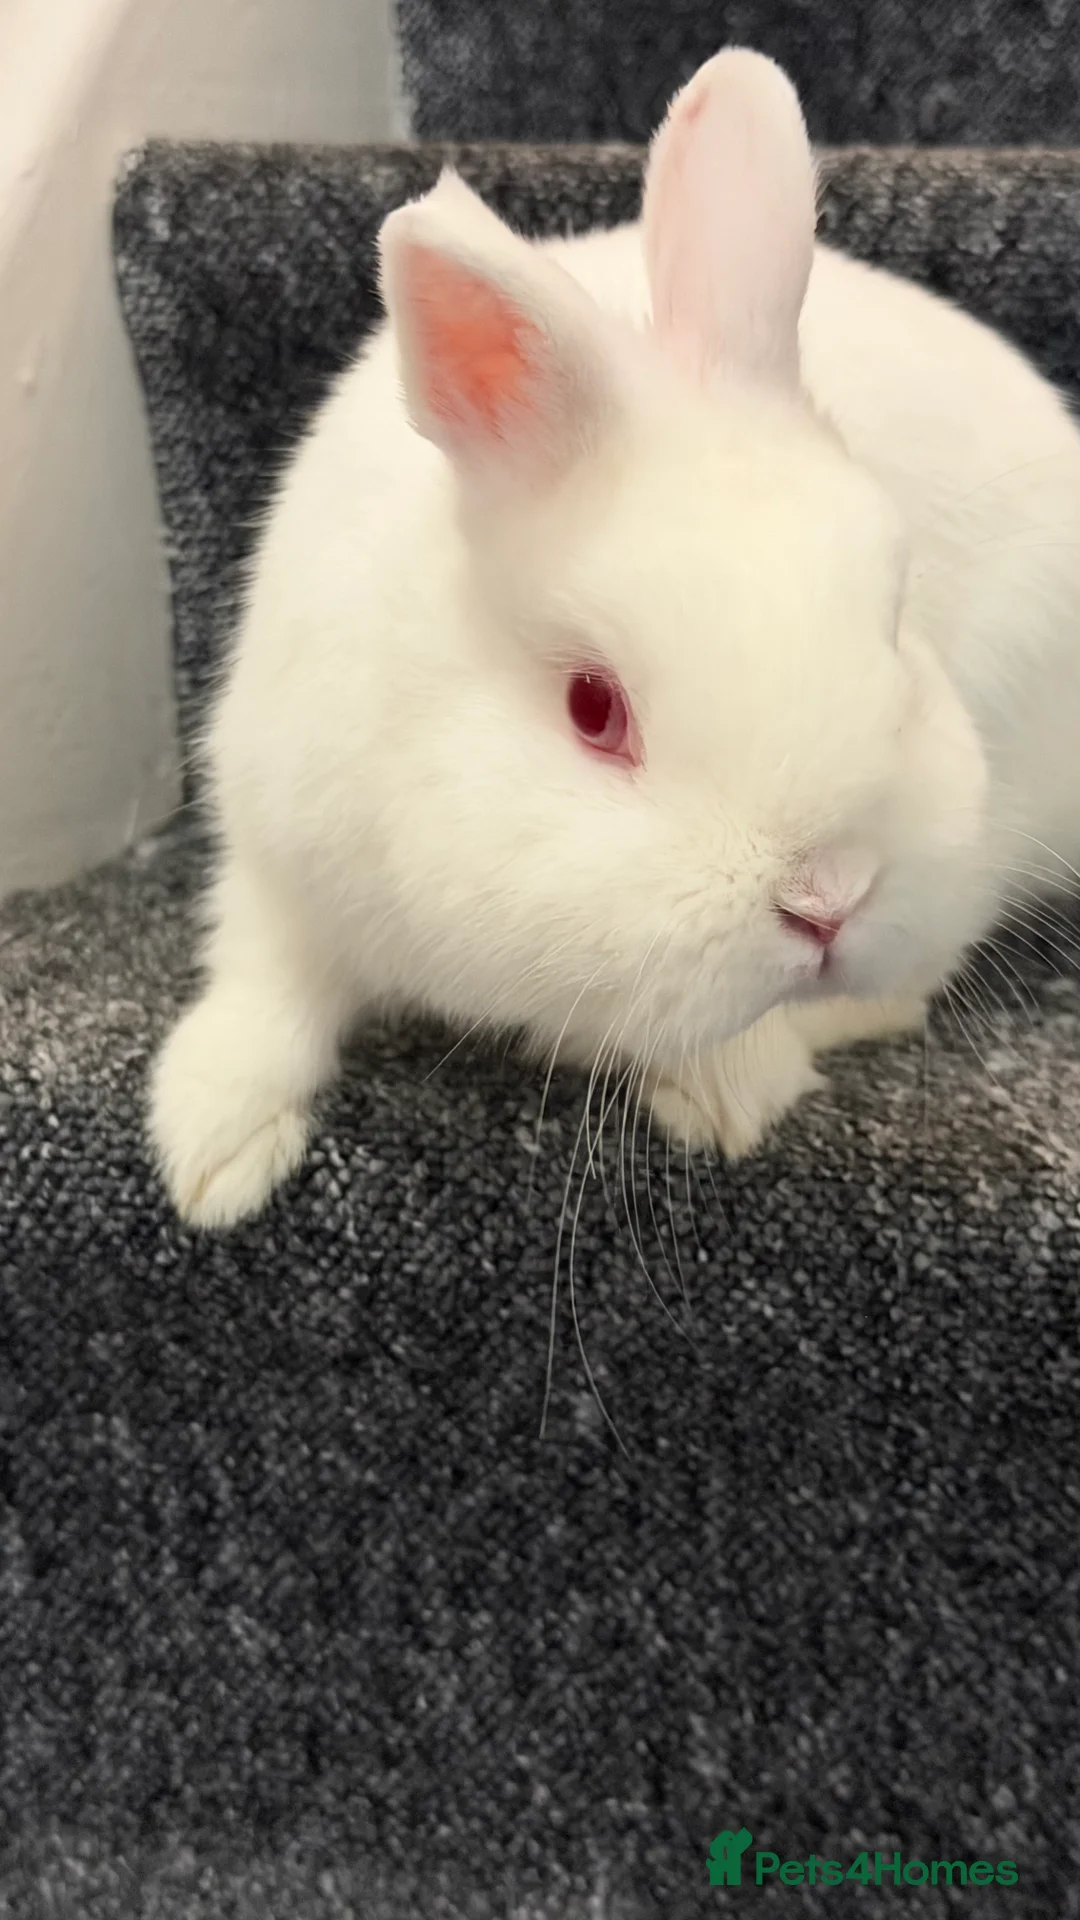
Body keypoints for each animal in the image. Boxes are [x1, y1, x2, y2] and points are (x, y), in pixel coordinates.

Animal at [150, 47, 1080, 1229]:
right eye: (594, 708)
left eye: (896, 626)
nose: (827, 901)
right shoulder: (281, 851)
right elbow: (262, 981)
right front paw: (211, 1153)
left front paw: (725, 1093)